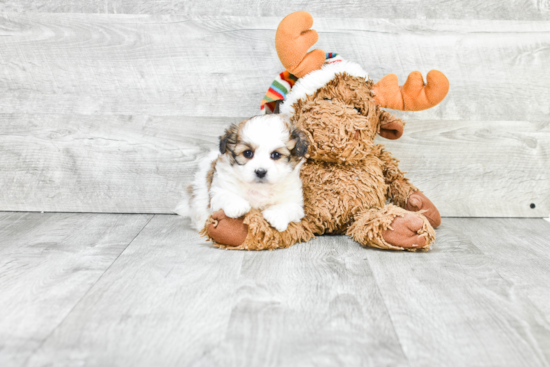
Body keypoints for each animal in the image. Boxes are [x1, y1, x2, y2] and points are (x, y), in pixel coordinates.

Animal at [176, 114, 310, 233]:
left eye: (276, 155)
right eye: (247, 153)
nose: (260, 172)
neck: (259, 189)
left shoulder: (294, 201)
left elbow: (288, 206)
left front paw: (276, 216)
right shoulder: (218, 190)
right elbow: (225, 195)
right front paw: (237, 206)